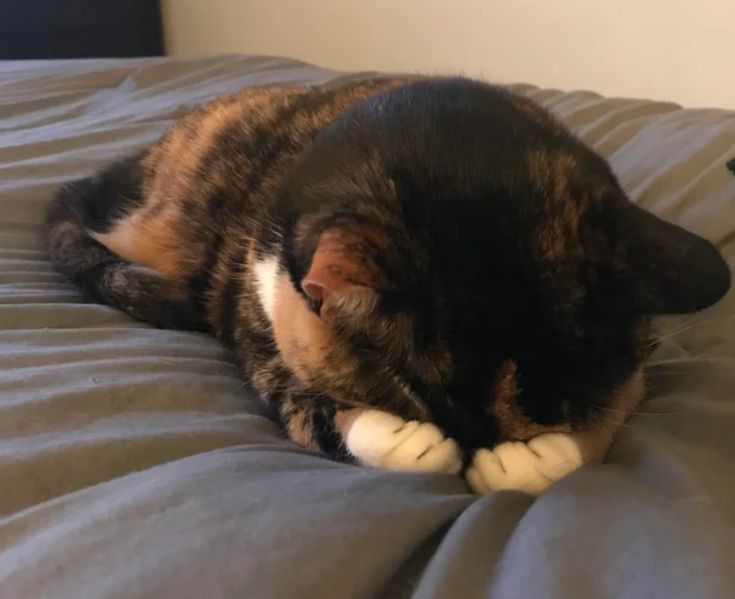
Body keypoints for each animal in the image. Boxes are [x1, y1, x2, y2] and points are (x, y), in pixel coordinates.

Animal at [44, 77, 732, 494]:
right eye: (418, 397)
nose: (469, 448)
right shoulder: (262, 324)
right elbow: (304, 406)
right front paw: (415, 446)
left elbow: (613, 408)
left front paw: (534, 458)